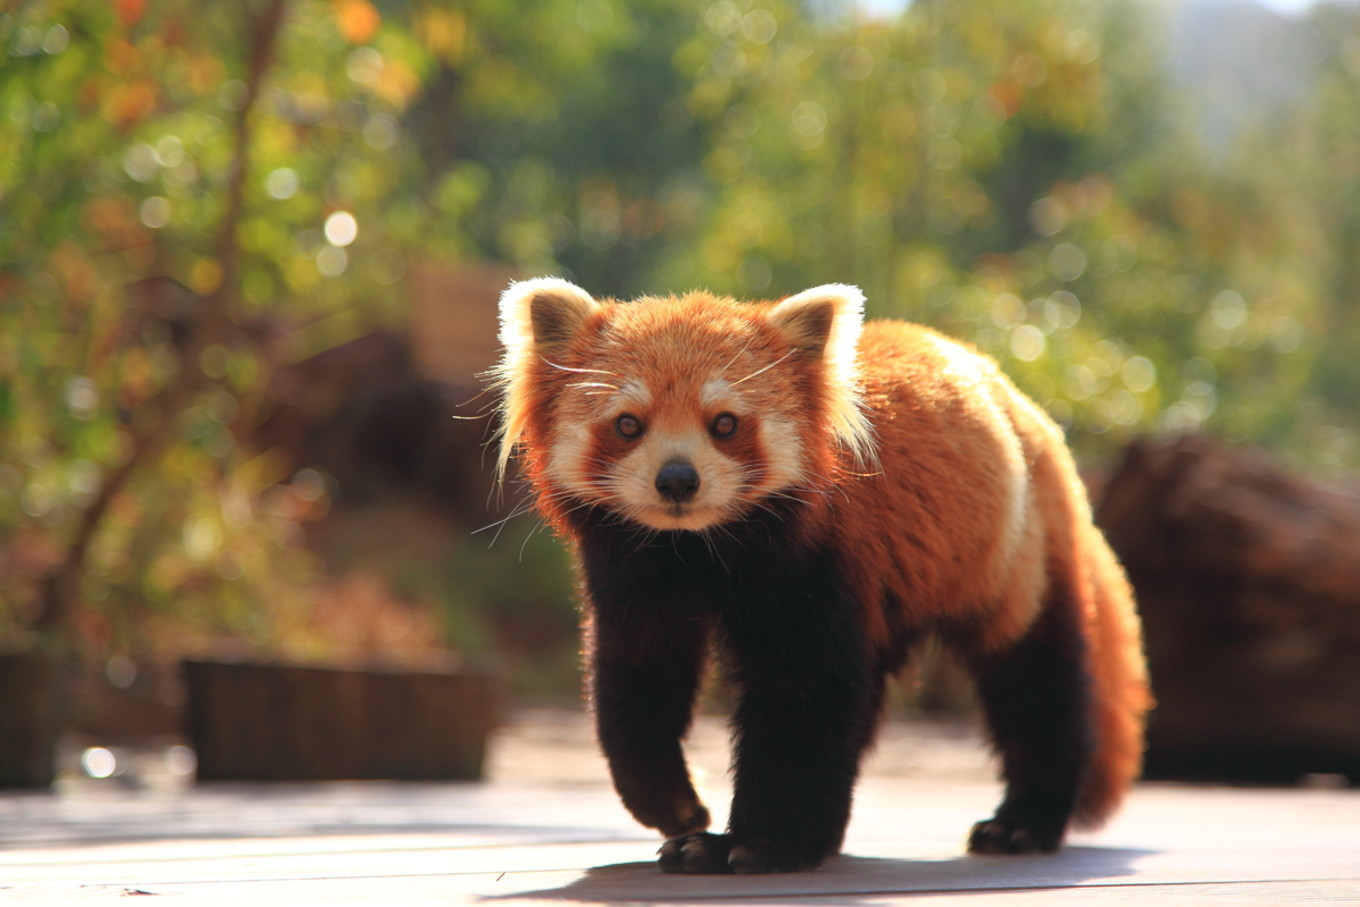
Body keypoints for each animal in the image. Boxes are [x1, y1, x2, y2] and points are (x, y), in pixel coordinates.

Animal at [489, 277, 1147, 870]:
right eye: (628, 424)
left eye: (724, 424)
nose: (677, 480)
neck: (698, 549)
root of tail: (1029, 414)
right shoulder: (632, 571)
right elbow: (636, 680)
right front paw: (674, 805)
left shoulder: (817, 562)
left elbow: (802, 698)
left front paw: (753, 845)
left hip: (1010, 553)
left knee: (1034, 678)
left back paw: (1022, 824)